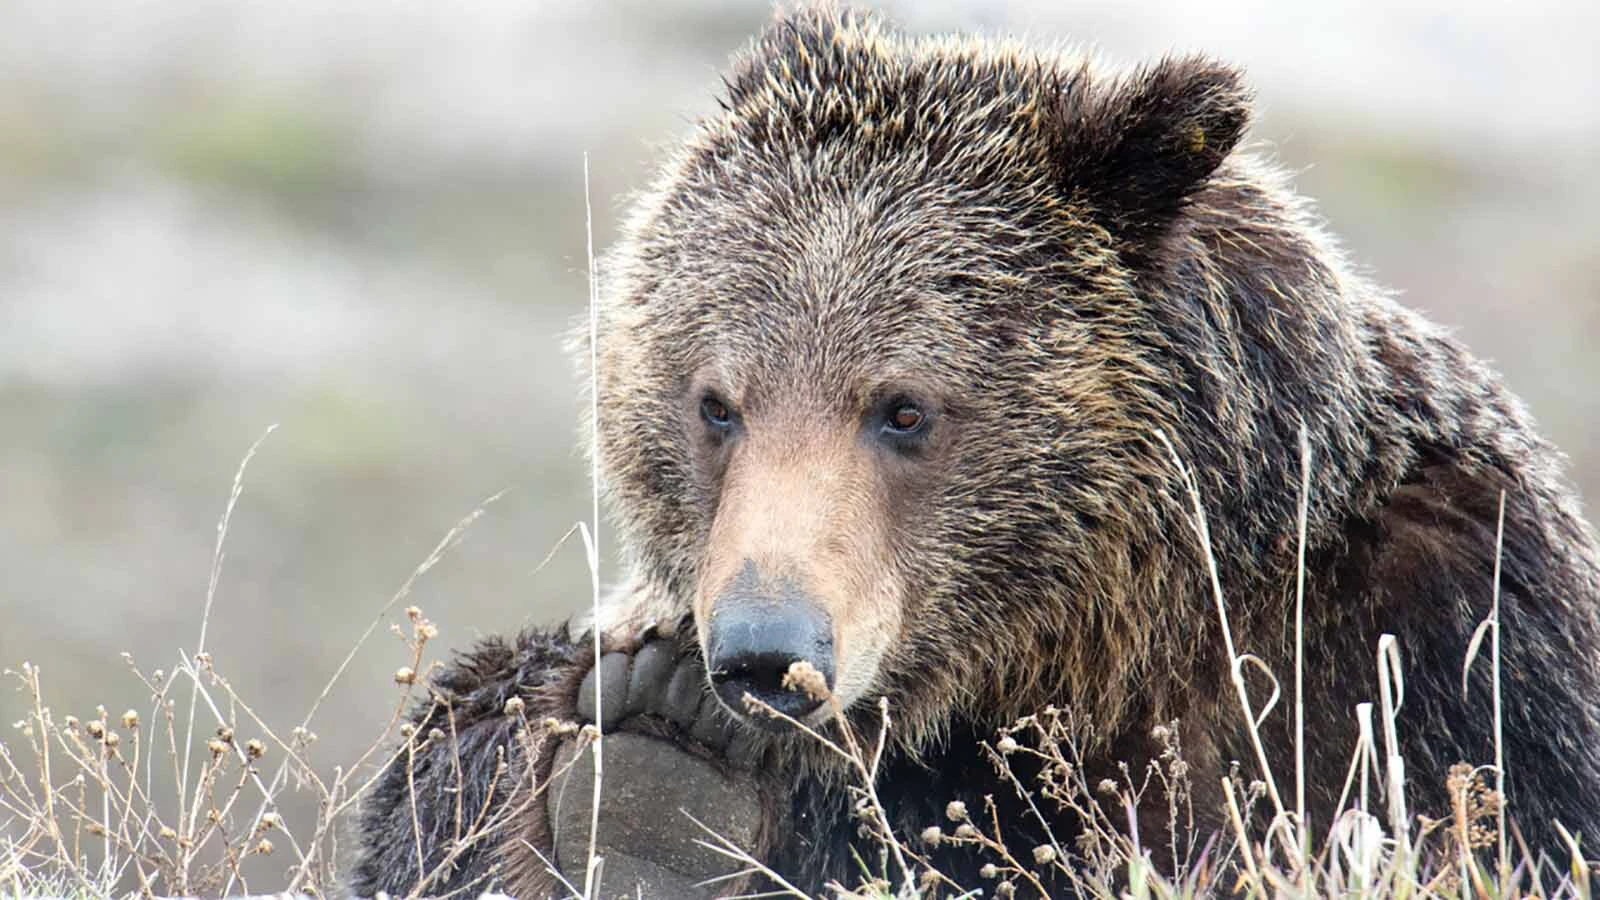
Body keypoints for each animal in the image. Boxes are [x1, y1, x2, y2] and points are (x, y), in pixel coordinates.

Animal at [350, 5, 1600, 897]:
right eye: (716, 404)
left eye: (903, 408)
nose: (763, 653)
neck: (1093, 644)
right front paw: (643, 747)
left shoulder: (1447, 640)